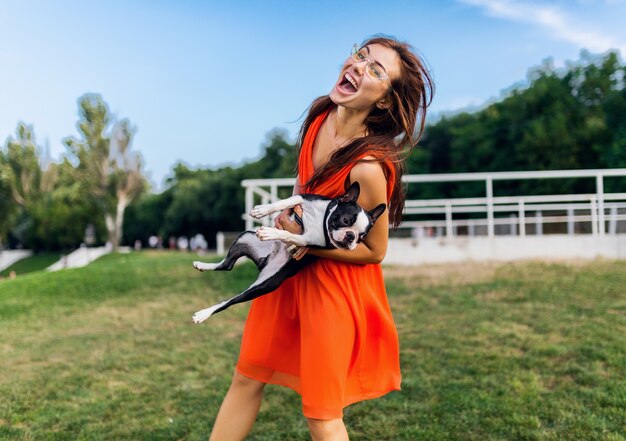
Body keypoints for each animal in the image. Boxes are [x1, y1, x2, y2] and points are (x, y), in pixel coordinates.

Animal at [190, 180, 386, 322]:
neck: (322, 218)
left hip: (264, 285)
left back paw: (203, 314)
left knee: (229, 298)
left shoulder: (307, 240)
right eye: (345, 220)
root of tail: (264, 261)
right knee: (226, 264)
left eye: (362, 236)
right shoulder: (304, 198)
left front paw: (271, 232)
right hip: (244, 237)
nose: (351, 237)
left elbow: (287, 234)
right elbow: (285, 202)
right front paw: (262, 210)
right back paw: (201, 264)